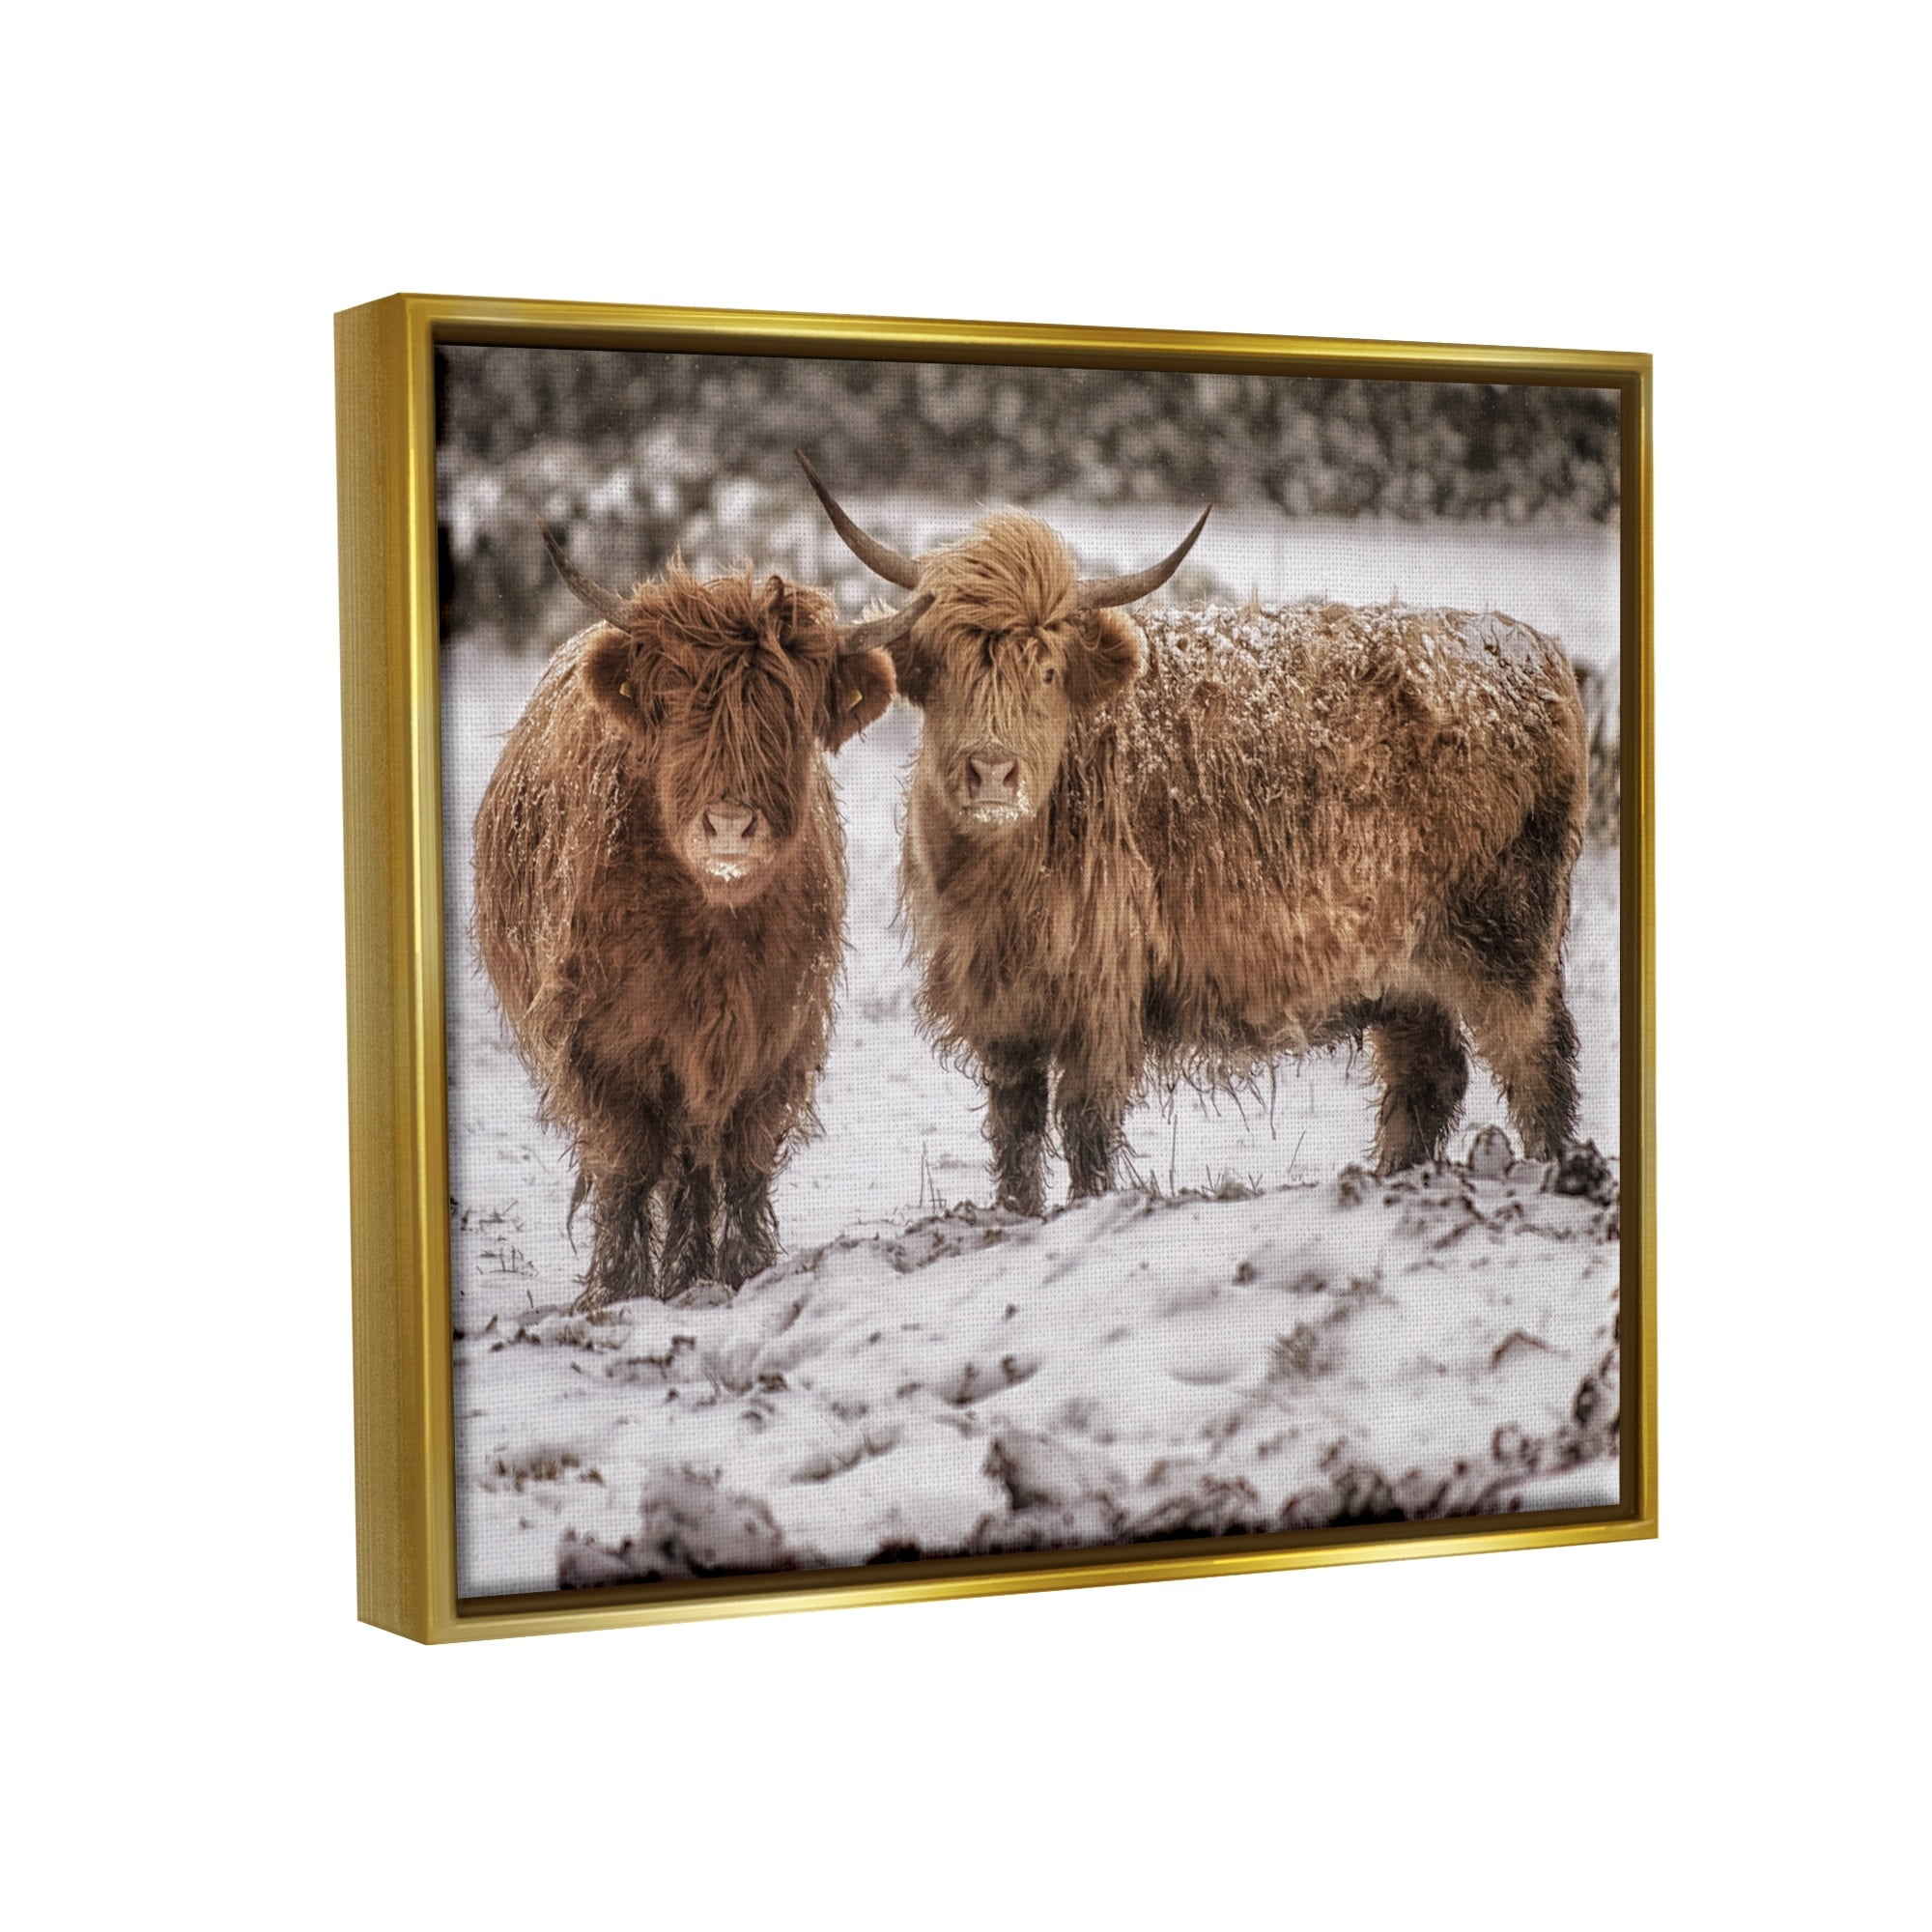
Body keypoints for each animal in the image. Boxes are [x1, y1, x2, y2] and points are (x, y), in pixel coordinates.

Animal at [472, 524, 928, 1305]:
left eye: (789, 716)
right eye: (679, 709)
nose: (729, 826)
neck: (713, 927)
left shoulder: (776, 1035)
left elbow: (740, 1159)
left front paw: (742, 1270)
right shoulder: (600, 1044)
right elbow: (627, 1163)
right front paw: (619, 1289)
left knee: (694, 1160)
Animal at [798, 453, 1588, 1214]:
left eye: (1047, 672)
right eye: (946, 667)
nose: (992, 771)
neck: (1001, 879)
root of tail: (1532, 649)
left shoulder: (1101, 989)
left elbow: (1086, 1121)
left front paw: (1087, 1206)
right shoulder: (1003, 1004)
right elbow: (1015, 1128)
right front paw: (1016, 1212)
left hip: (1507, 937)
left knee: (1536, 1064)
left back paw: (1553, 1171)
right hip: (1403, 967)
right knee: (1428, 1078)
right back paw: (1394, 1178)